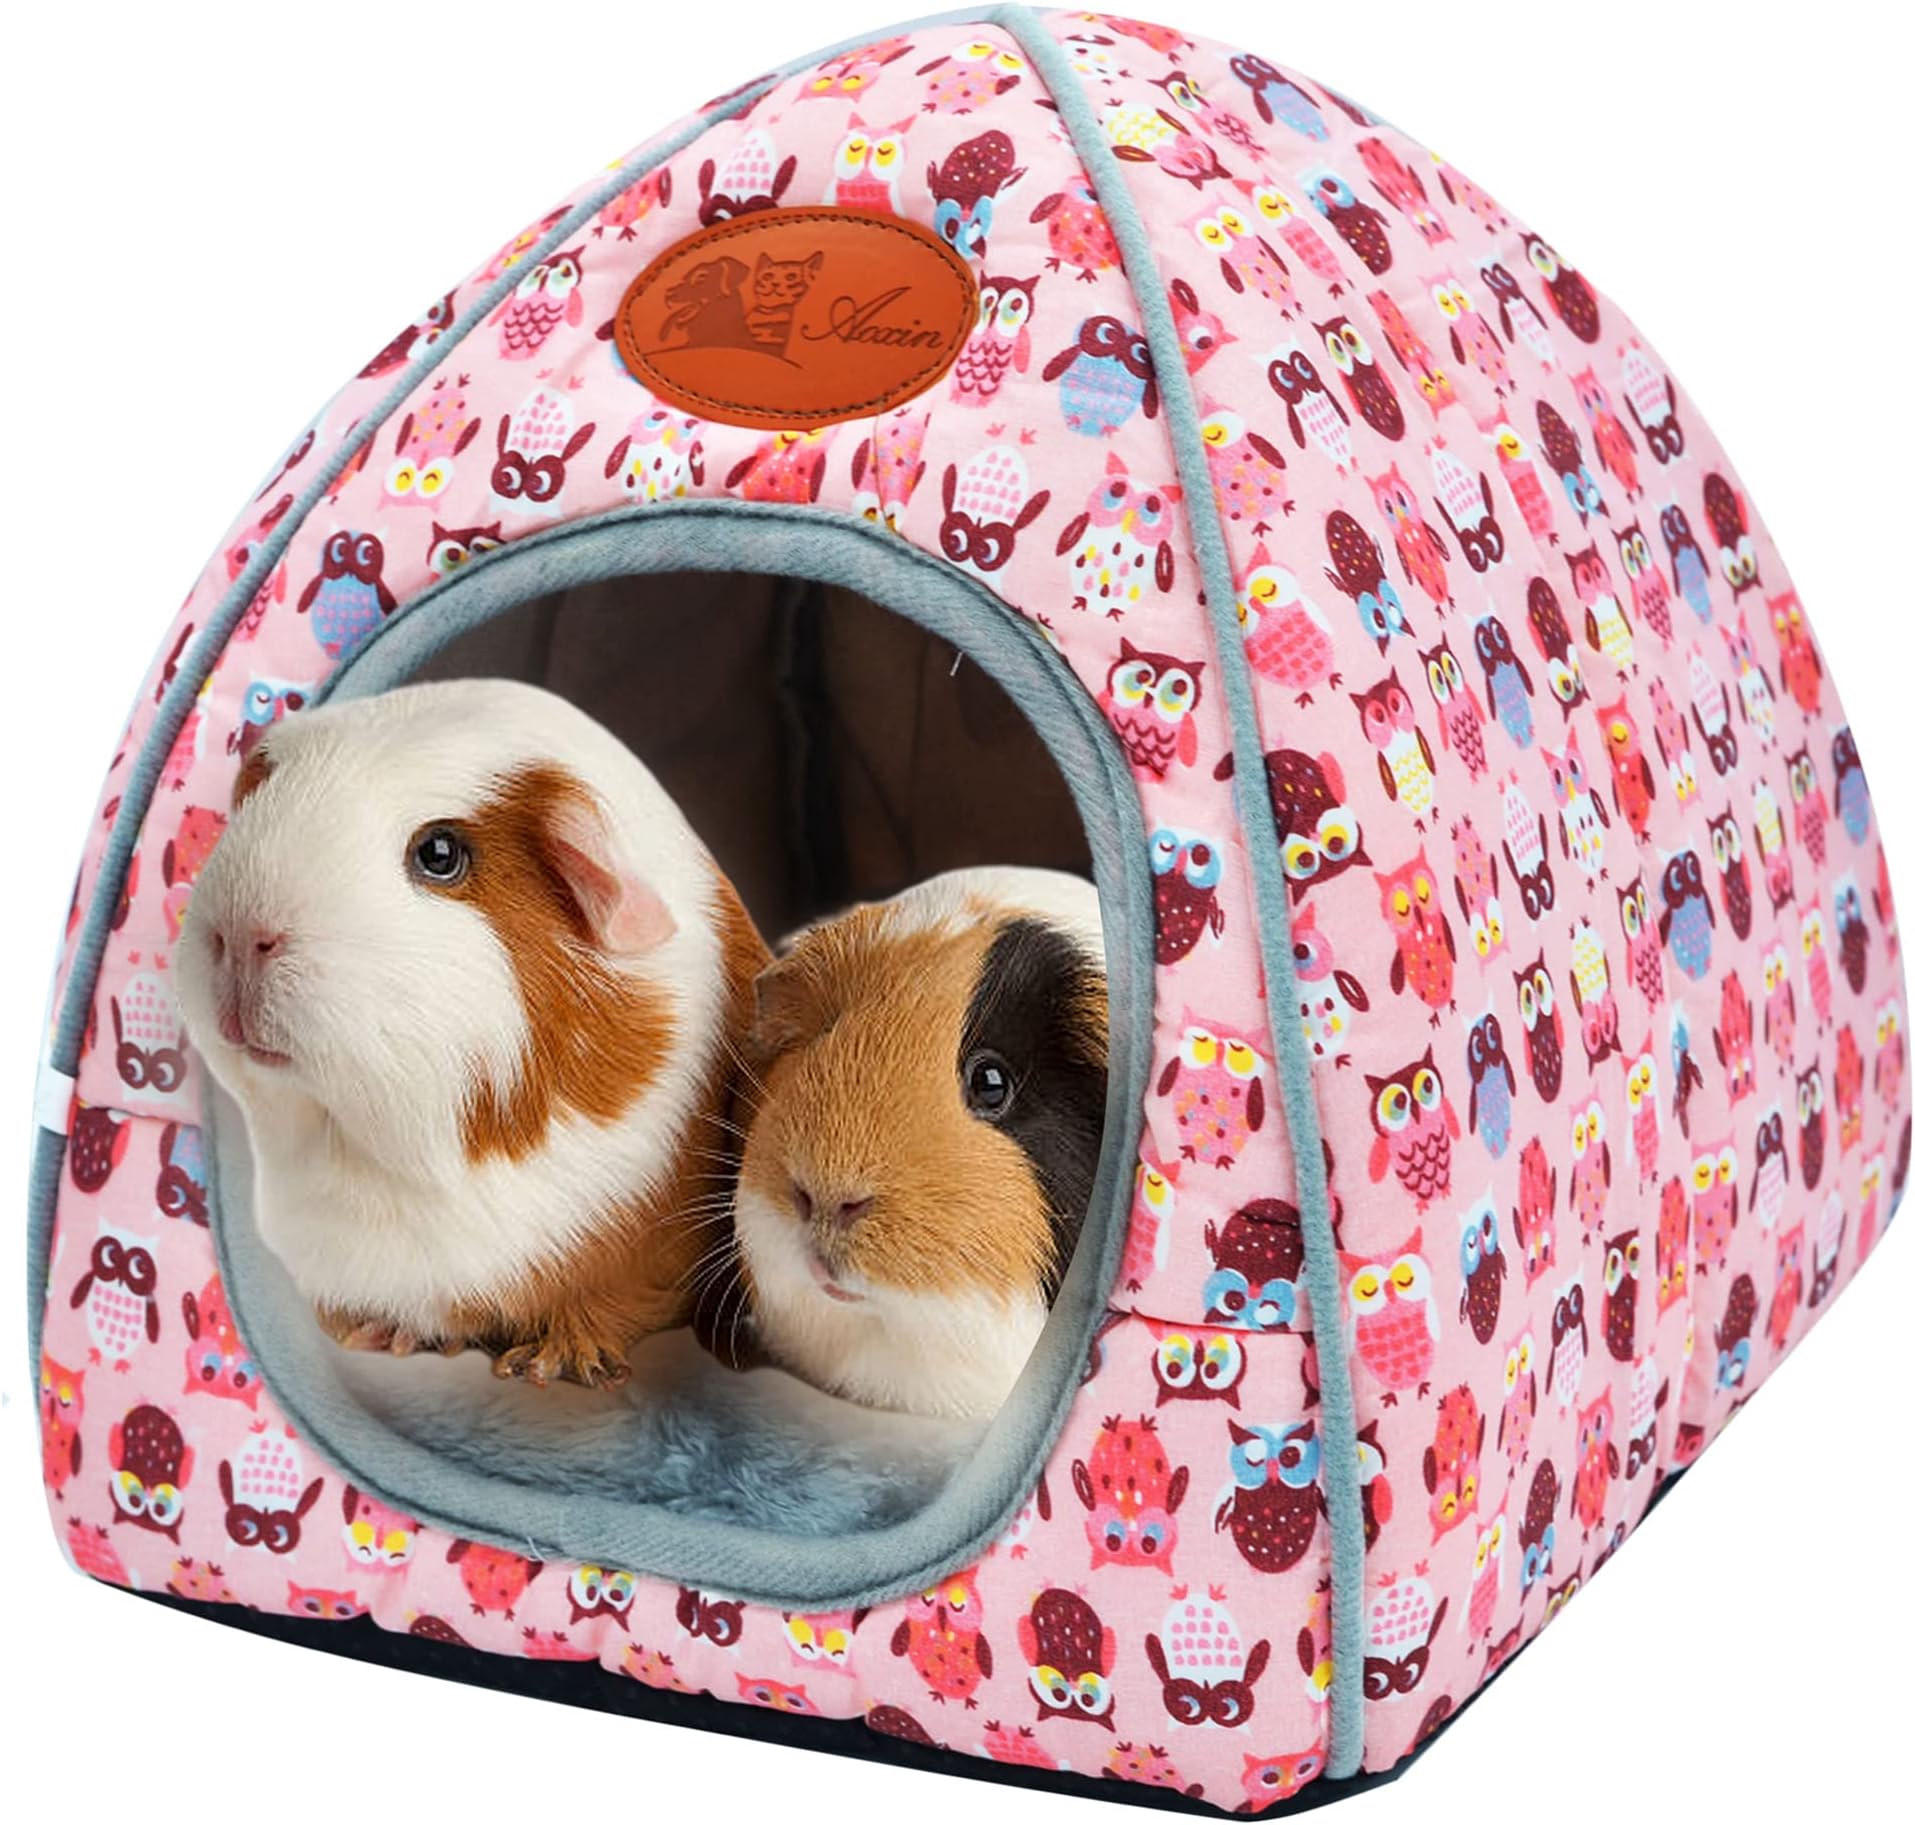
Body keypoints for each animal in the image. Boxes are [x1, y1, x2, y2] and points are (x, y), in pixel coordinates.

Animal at [174, 677, 769, 1387]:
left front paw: (551, 1365)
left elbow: (610, 1300)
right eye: (263, 796)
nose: (239, 936)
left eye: (439, 854)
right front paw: (383, 1334)